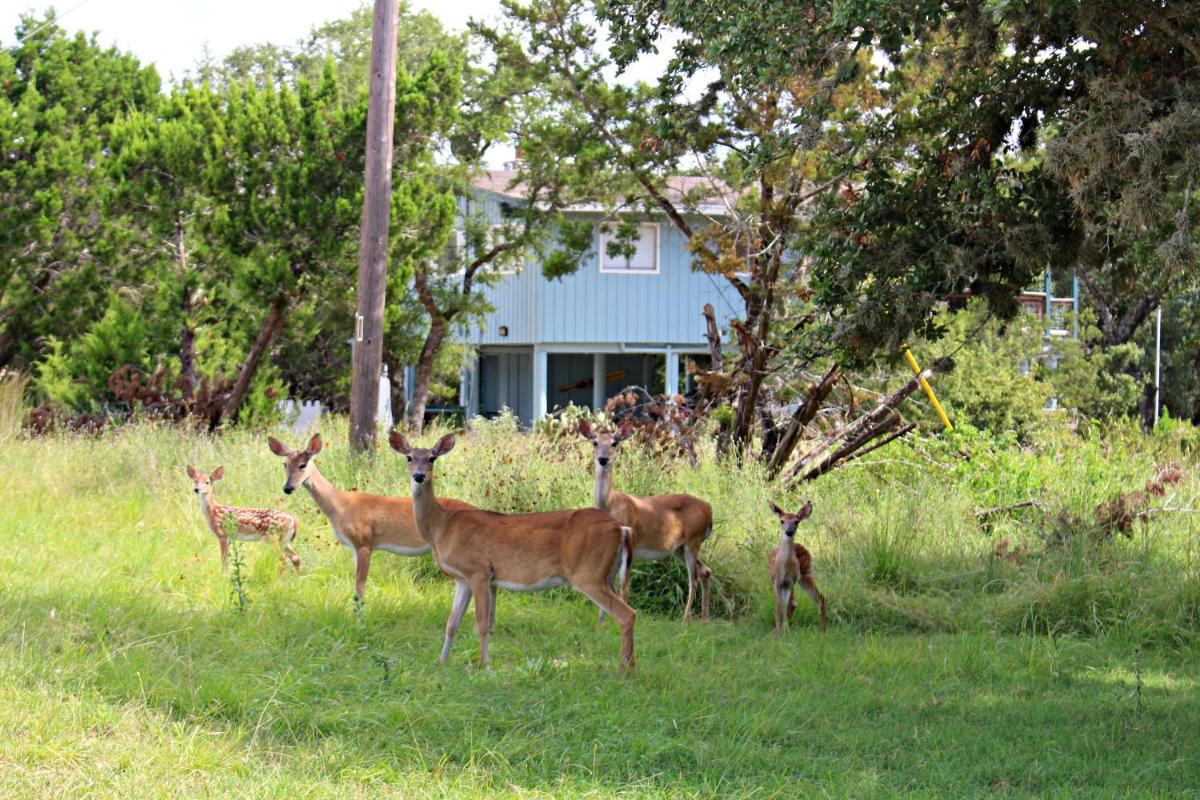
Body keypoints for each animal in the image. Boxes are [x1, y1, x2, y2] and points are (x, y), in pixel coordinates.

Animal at [266, 433, 476, 605]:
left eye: (303, 465)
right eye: (285, 464)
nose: (288, 488)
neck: (340, 505)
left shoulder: (364, 542)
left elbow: (359, 590)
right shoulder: (353, 547)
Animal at [389, 431, 638, 673]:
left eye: (432, 458)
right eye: (409, 457)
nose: (419, 476)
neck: (442, 527)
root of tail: (622, 528)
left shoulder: (479, 571)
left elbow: (482, 623)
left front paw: (484, 666)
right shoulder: (462, 579)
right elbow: (452, 623)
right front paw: (441, 662)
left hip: (589, 573)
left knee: (627, 614)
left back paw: (622, 670)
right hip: (607, 575)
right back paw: (631, 665)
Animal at [578, 419, 713, 621]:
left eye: (614, 443)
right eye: (594, 442)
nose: (603, 459)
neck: (611, 504)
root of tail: (710, 510)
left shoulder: (631, 542)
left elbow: (624, 587)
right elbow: (608, 585)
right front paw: (603, 621)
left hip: (693, 541)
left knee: (693, 579)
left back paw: (686, 620)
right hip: (679, 548)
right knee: (705, 571)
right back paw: (704, 620)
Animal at [767, 500, 827, 635]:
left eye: (796, 521)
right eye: (782, 521)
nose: (789, 532)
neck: (783, 569)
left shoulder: (790, 581)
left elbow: (787, 606)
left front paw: (784, 632)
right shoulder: (775, 581)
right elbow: (778, 607)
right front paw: (778, 632)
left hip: (805, 574)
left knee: (818, 598)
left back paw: (823, 629)